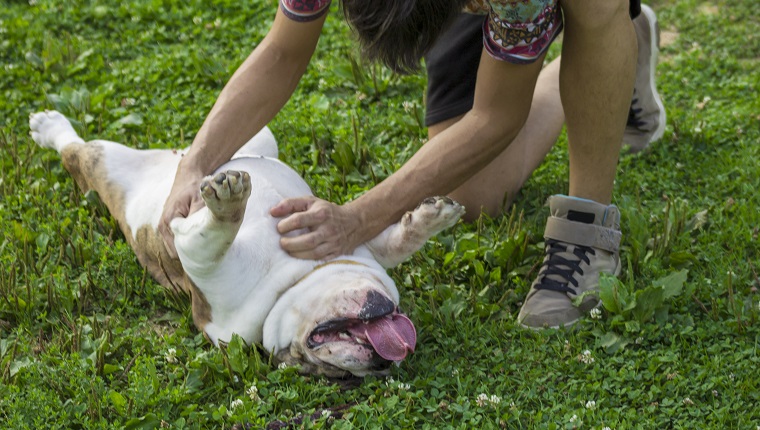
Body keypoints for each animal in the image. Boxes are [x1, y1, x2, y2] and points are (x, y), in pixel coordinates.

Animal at [29, 110, 464, 376]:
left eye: (338, 373)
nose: (383, 360)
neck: (294, 281)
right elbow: (395, 241)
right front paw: (434, 216)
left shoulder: (203, 259)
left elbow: (211, 237)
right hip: (113, 161)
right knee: (74, 150)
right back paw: (49, 126)